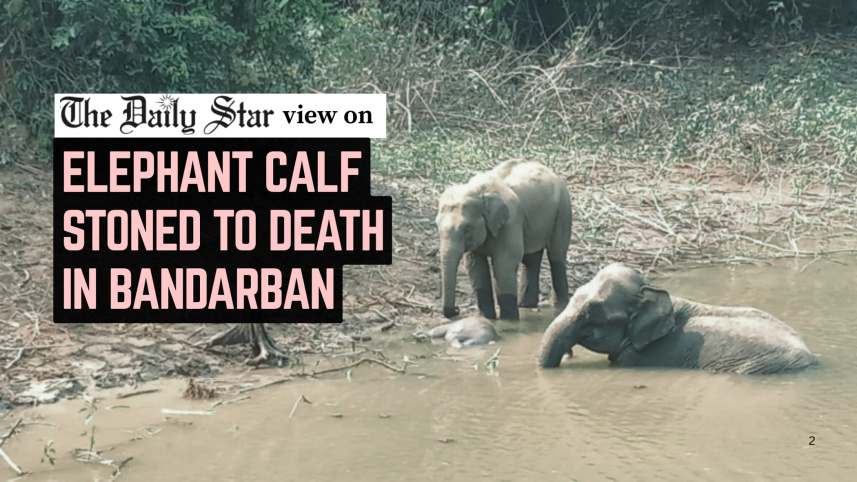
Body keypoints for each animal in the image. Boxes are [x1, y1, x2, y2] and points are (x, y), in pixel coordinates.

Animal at [436, 159, 572, 321]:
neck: (480, 192)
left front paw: (509, 321)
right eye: (436, 225)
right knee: (531, 257)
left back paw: (560, 306)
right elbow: (475, 265)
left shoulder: (511, 220)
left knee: (556, 254)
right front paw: (487, 318)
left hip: (563, 209)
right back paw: (525, 305)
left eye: (466, 228)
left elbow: (504, 264)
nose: (456, 310)